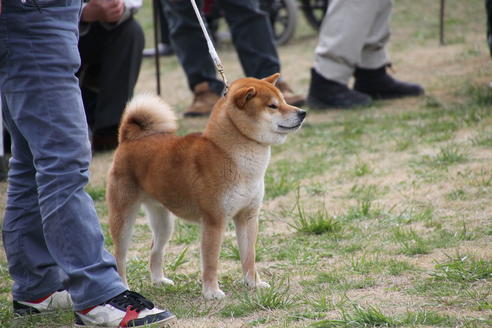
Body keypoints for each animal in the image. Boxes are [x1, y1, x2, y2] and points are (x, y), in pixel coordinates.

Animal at [107, 74, 306, 300]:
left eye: (284, 100)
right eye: (273, 106)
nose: (302, 112)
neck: (228, 154)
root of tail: (128, 139)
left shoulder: (248, 216)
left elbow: (249, 256)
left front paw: (253, 283)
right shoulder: (214, 221)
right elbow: (211, 261)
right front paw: (211, 291)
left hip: (163, 222)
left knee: (154, 249)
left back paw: (159, 280)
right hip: (124, 217)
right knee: (119, 256)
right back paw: (123, 285)